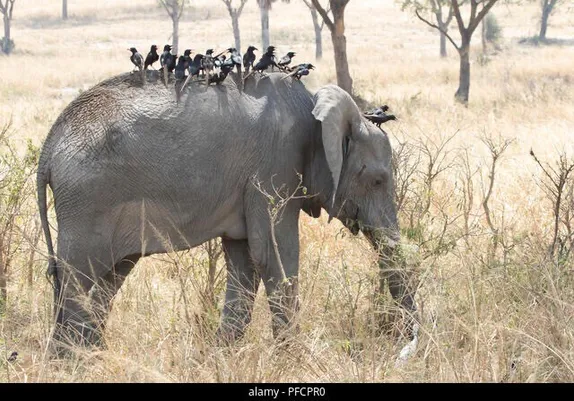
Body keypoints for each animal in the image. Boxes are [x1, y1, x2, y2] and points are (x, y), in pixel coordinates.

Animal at [37, 70, 418, 348]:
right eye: (378, 180)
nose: (407, 344)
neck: (315, 109)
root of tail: (49, 146)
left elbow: (246, 260)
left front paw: (224, 354)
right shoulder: (273, 168)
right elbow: (274, 255)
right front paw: (292, 357)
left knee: (108, 278)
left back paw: (89, 355)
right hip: (87, 200)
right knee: (77, 277)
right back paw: (68, 361)